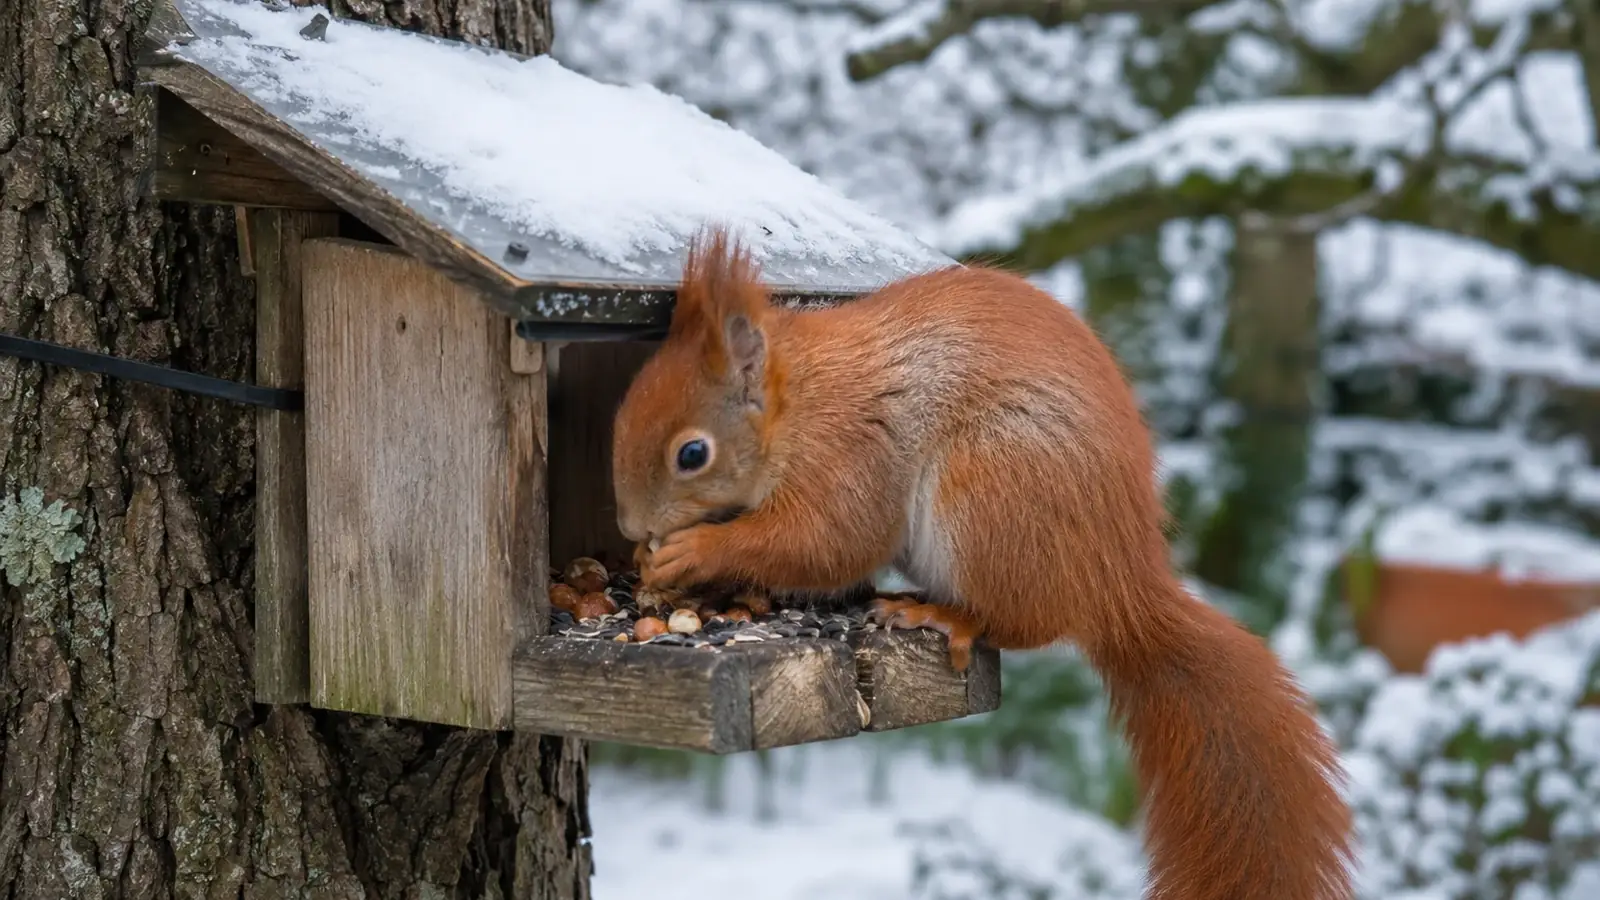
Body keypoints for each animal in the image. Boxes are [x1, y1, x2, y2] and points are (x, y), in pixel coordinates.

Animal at [610, 227, 1355, 900]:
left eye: (692, 454)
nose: (630, 527)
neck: (799, 405)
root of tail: (1121, 588)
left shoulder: (850, 456)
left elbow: (829, 540)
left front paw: (695, 552)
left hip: (988, 496)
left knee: (1030, 624)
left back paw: (944, 616)